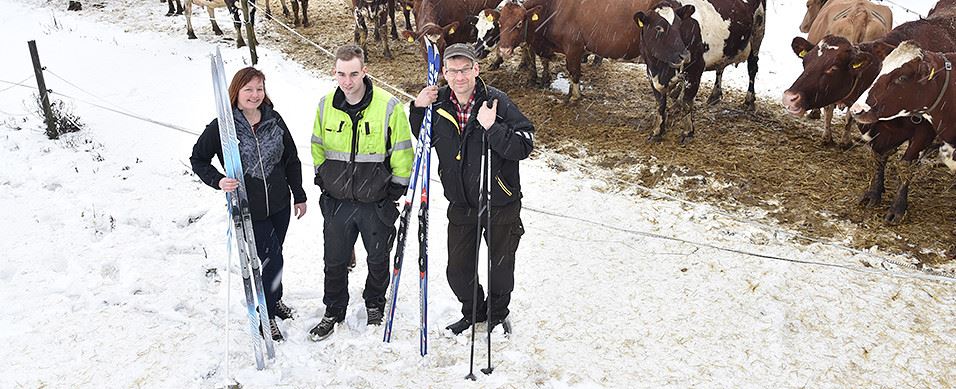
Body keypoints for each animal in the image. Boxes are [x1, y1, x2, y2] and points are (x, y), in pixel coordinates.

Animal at [792, 0, 888, 146]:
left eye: (808, 5)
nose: (802, 26)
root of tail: (861, 14)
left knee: (829, 108)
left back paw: (828, 138)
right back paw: (846, 140)